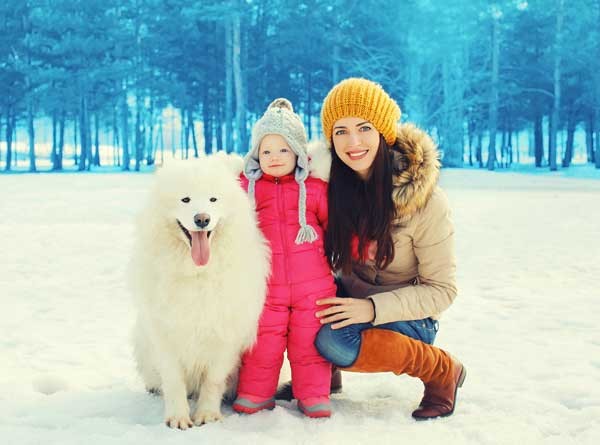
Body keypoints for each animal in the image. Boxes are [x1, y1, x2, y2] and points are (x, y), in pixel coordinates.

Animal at [132, 154, 270, 428]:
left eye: (213, 199)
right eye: (185, 199)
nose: (202, 219)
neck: (197, 273)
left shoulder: (224, 335)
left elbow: (213, 381)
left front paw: (207, 415)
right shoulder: (166, 333)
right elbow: (174, 381)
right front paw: (178, 419)